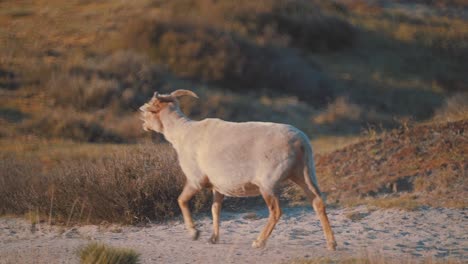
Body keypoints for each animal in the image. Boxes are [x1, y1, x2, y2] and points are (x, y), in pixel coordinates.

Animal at [139, 89, 336, 249]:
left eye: (148, 109)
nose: (143, 123)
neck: (181, 133)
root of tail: (300, 142)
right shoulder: (217, 186)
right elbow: (215, 209)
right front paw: (213, 238)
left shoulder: (196, 180)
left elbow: (181, 201)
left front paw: (194, 232)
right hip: (304, 173)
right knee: (317, 202)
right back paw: (331, 244)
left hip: (268, 182)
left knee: (276, 211)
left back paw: (259, 242)